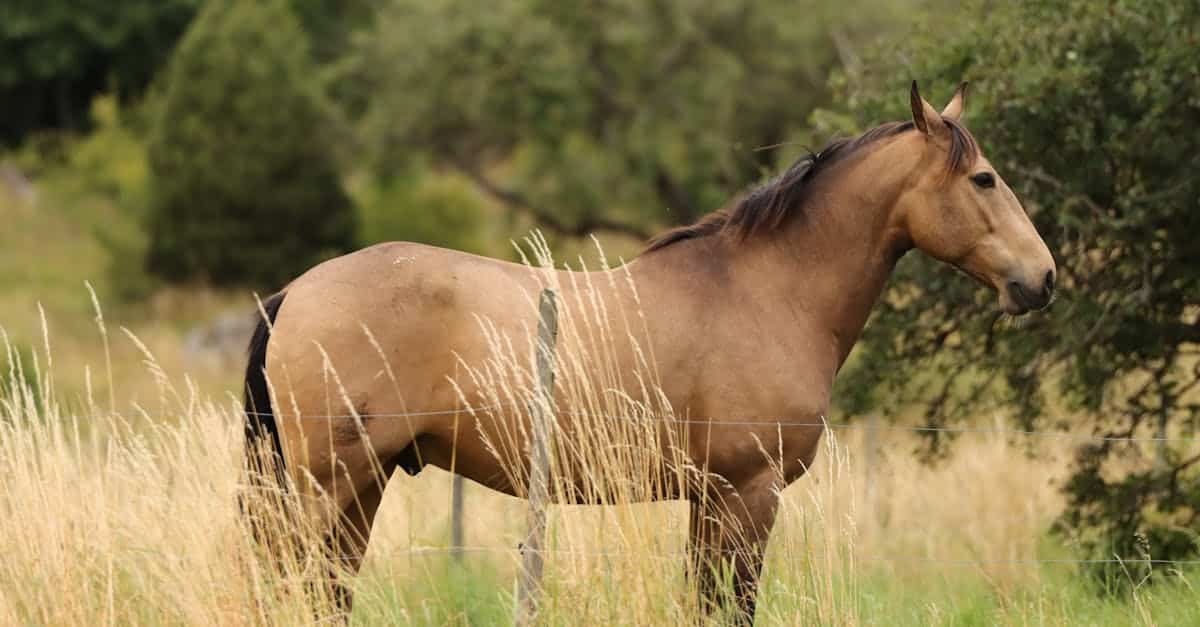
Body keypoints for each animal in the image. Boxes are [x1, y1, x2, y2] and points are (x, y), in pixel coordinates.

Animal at [246, 81, 1060, 619]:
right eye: (984, 178)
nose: (1043, 277)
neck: (766, 290)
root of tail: (293, 292)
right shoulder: (747, 494)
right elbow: (729, 606)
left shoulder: (709, 500)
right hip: (326, 488)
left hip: (363, 484)